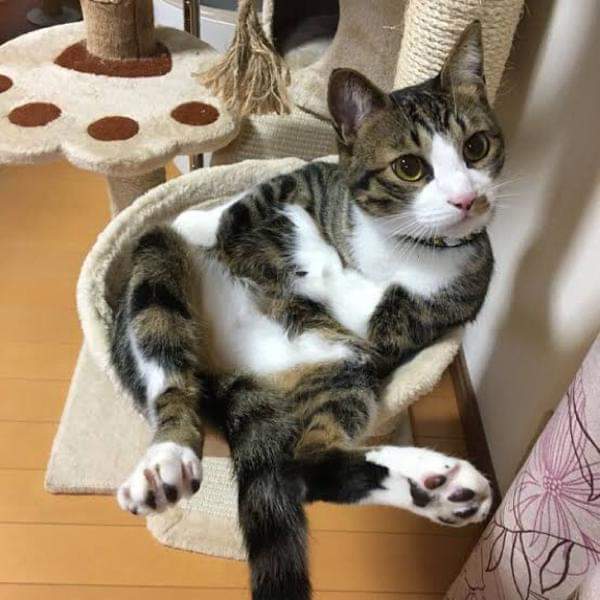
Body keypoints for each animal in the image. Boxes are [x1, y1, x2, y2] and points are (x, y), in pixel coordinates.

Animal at [111, 22, 503, 600]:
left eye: (476, 147)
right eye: (410, 167)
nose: (465, 200)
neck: (396, 243)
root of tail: (237, 370)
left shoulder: (420, 311)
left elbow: (353, 287)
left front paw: (308, 242)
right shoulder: (308, 176)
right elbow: (245, 203)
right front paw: (205, 222)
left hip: (343, 366)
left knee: (308, 466)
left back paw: (439, 487)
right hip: (158, 275)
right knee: (168, 370)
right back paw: (168, 457)